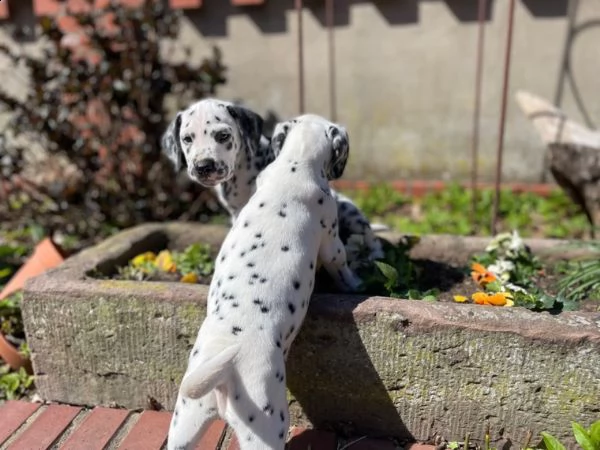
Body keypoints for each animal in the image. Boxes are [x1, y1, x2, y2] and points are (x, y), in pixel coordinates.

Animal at [161, 98, 384, 264]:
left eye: (223, 135)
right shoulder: (236, 213)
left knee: (371, 238)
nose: (204, 166)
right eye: (187, 139)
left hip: (350, 212)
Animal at [165, 117, 360, 450]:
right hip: (267, 426)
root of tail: (224, 375)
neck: (294, 165)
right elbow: (341, 266)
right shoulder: (331, 240)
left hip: (185, 420)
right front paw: (356, 283)